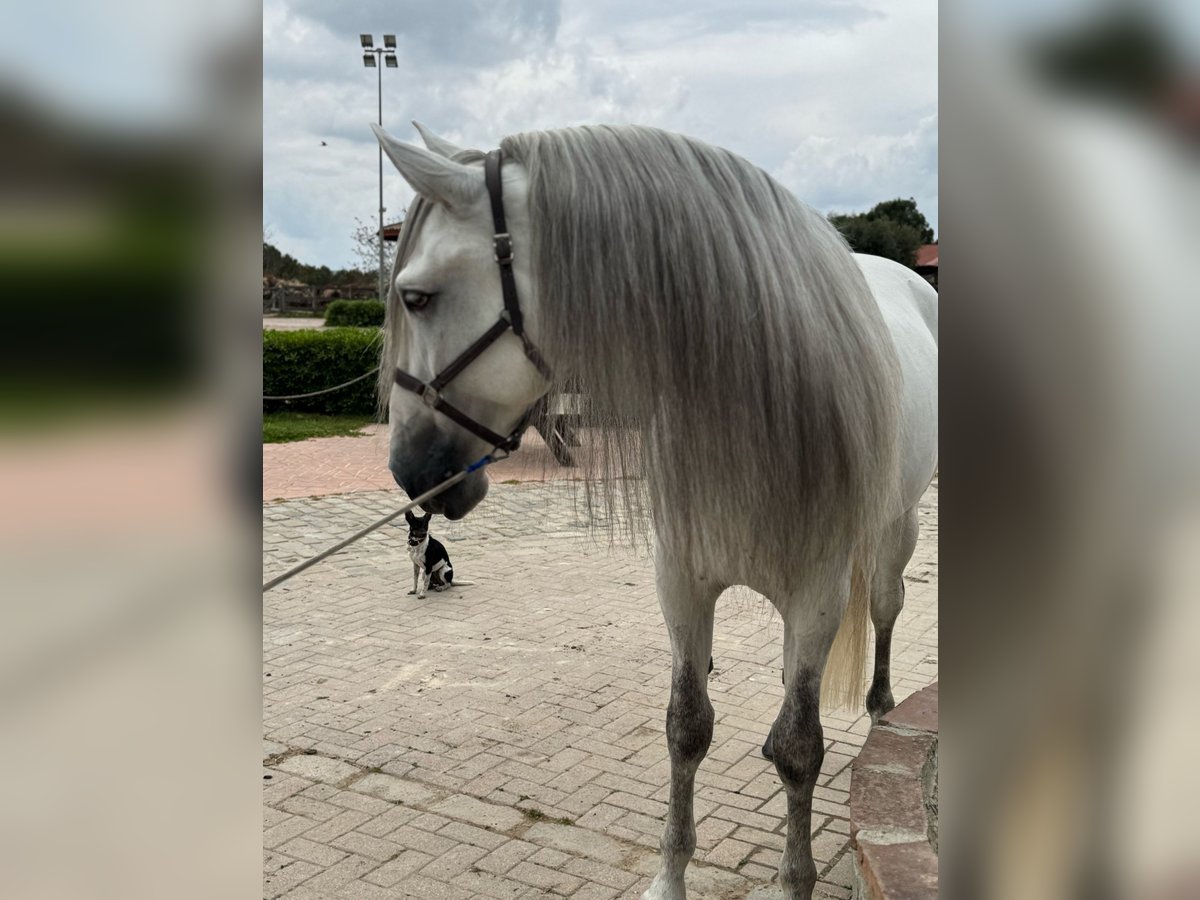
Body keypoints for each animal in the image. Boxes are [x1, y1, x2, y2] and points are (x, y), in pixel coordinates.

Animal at [372, 121, 938, 900]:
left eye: (418, 297)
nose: (408, 471)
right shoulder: (682, 583)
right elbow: (687, 728)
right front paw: (669, 877)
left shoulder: (816, 593)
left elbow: (800, 749)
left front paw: (793, 879)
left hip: (891, 537)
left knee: (884, 613)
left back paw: (883, 705)